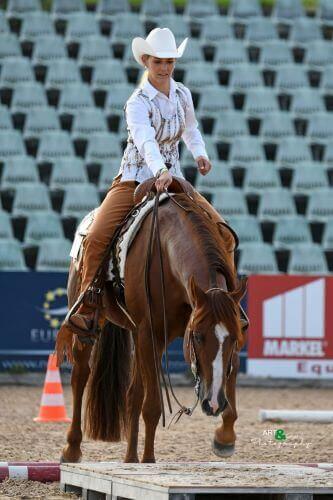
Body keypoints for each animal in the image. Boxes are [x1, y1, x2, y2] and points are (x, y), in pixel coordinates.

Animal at [59, 188, 246, 464]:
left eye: (234, 338)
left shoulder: (160, 335)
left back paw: (129, 458)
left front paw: (225, 437)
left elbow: (229, 375)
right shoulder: (150, 331)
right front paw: (149, 460)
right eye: (197, 337)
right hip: (92, 326)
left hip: (142, 337)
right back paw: (72, 449)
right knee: (80, 376)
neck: (167, 252)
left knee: (132, 394)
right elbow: (152, 406)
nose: (212, 402)